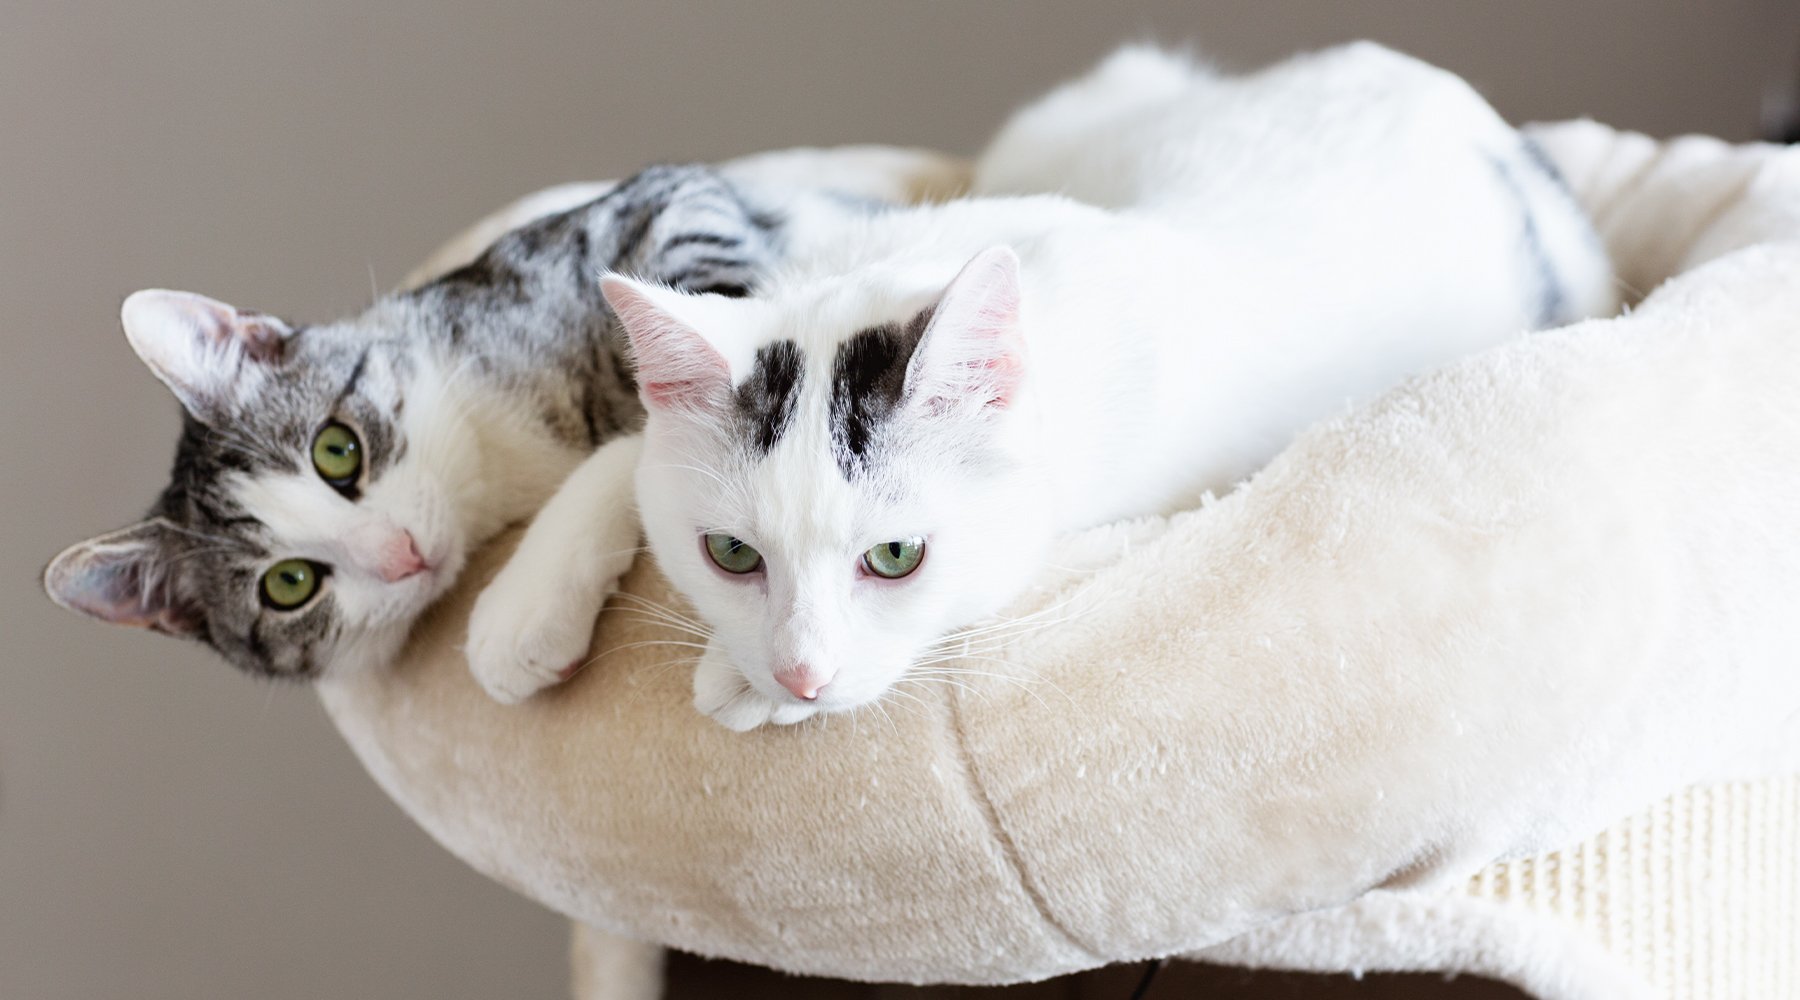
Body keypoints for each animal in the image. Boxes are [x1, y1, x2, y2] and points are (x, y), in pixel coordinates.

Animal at [475, 44, 1620, 726]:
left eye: (896, 556)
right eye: (731, 554)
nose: (800, 669)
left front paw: (746, 684)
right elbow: (620, 453)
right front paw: (522, 612)